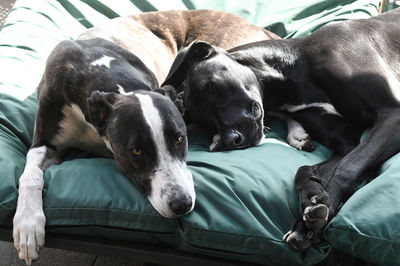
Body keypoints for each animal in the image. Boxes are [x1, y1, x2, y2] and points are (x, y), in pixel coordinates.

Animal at [12, 9, 276, 264]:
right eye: (136, 151)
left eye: (180, 139)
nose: (182, 204)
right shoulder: (44, 142)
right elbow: (30, 175)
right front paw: (28, 224)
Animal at [162, 8, 400, 251]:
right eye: (205, 122)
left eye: (213, 87)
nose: (232, 140)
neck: (296, 69)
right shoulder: (345, 142)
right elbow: (306, 169)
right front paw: (311, 205)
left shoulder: (392, 114)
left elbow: (346, 168)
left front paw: (316, 218)